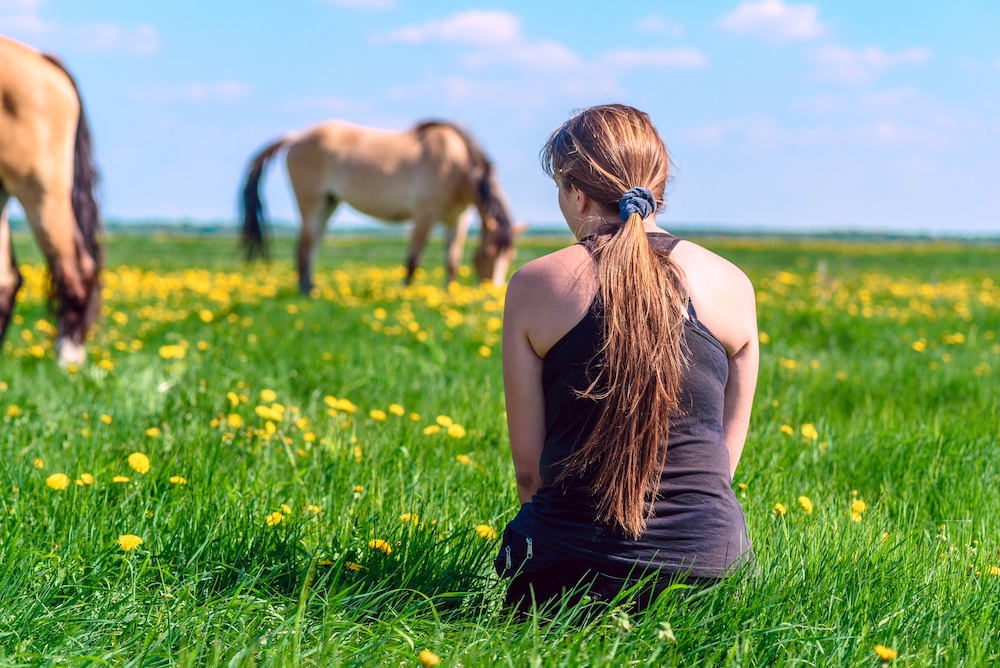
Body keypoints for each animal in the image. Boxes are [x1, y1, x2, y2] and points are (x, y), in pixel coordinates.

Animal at [239, 118, 520, 294]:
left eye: (510, 256)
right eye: (486, 255)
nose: (493, 291)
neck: (454, 164)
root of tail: (295, 136)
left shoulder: (458, 219)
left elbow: (452, 259)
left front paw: (449, 293)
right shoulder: (425, 215)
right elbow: (413, 258)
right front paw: (406, 293)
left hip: (329, 204)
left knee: (312, 246)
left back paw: (312, 289)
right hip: (311, 204)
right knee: (303, 248)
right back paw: (307, 293)